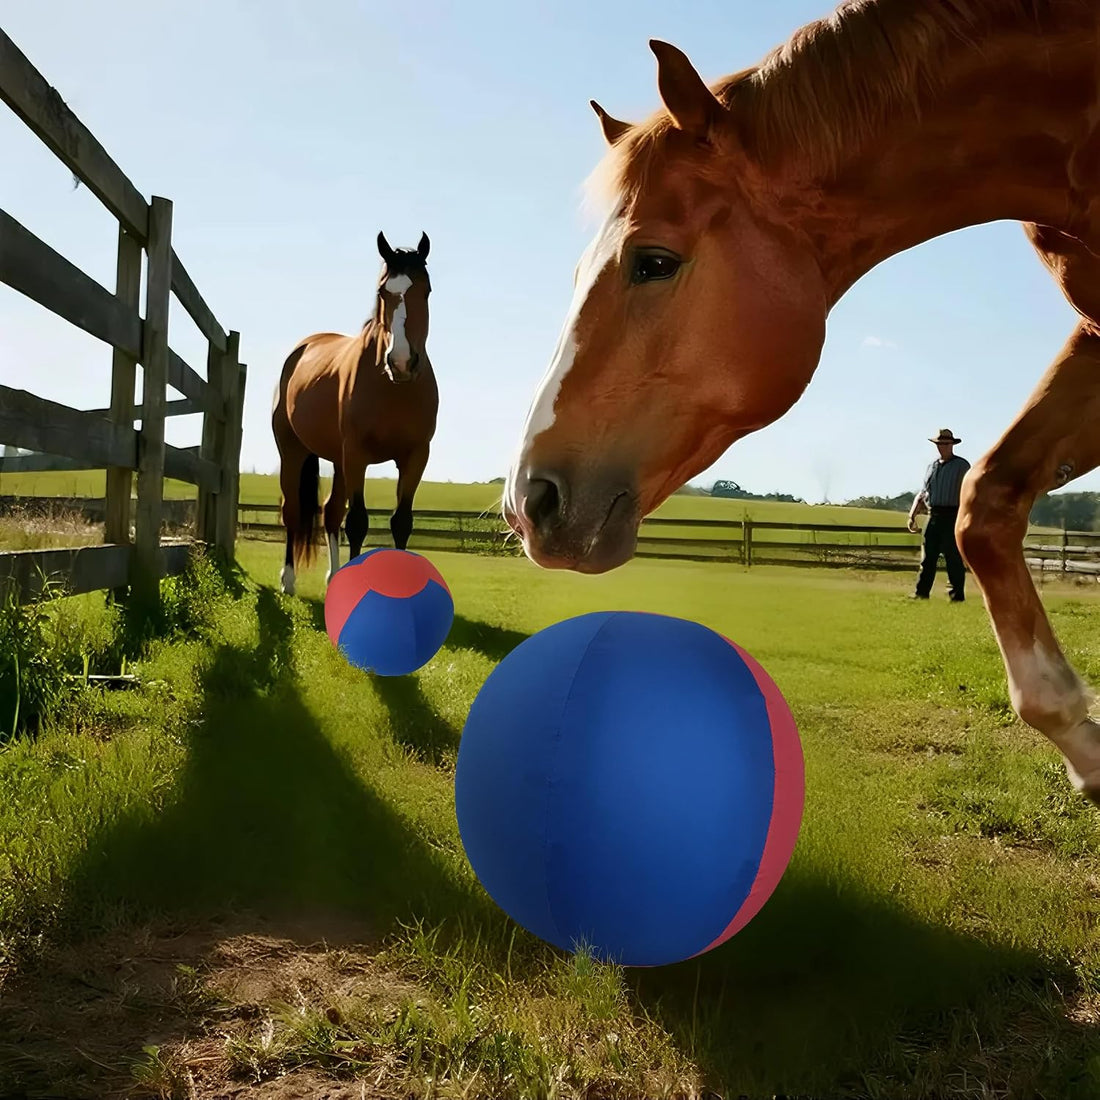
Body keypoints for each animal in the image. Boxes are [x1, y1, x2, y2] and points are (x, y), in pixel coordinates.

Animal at [272, 230, 437, 595]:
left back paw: (335, 576)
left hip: (338, 460)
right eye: (382, 291)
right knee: (293, 511)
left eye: (426, 290)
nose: (401, 361)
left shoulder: (416, 456)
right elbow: (358, 522)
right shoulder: (358, 454)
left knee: (331, 512)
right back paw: (288, 580)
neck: (393, 388)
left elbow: (401, 522)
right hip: (294, 451)